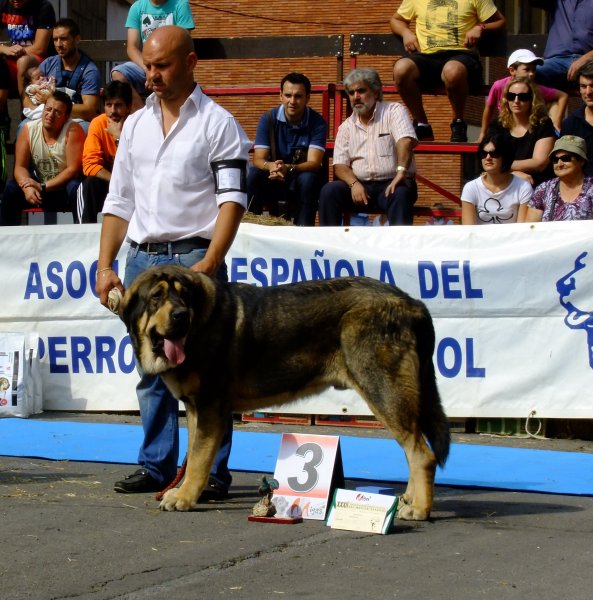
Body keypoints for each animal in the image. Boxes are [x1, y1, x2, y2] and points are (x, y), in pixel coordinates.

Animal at [118, 264, 448, 516]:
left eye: (183, 296)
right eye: (156, 297)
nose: (181, 315)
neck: (198, 325)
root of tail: (413, 304)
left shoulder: (210, 407)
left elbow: (198, 460)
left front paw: (183, 498)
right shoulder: (197, 408)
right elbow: (193, 456)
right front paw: (183, 491)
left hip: (383, 390)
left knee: (421, 454)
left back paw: (419, 509)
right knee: (412, 449)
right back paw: (408, 499)